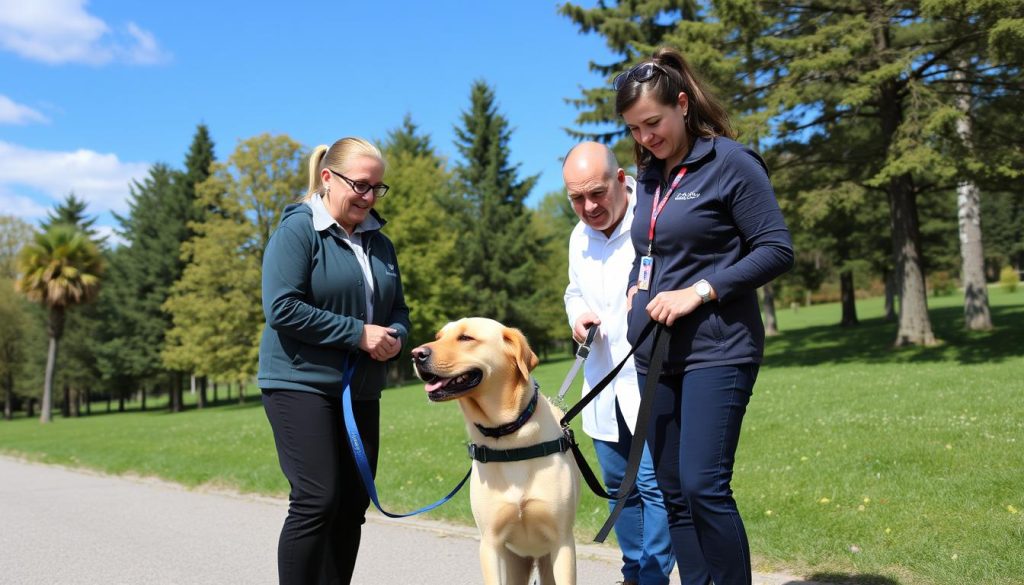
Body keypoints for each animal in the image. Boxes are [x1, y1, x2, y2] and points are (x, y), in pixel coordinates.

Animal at [411, 317, 581, 585]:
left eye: (466, 338)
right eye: (438, 337)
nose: (416, 354)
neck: (509, 439)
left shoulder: (562, 543)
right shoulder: (490, 544)